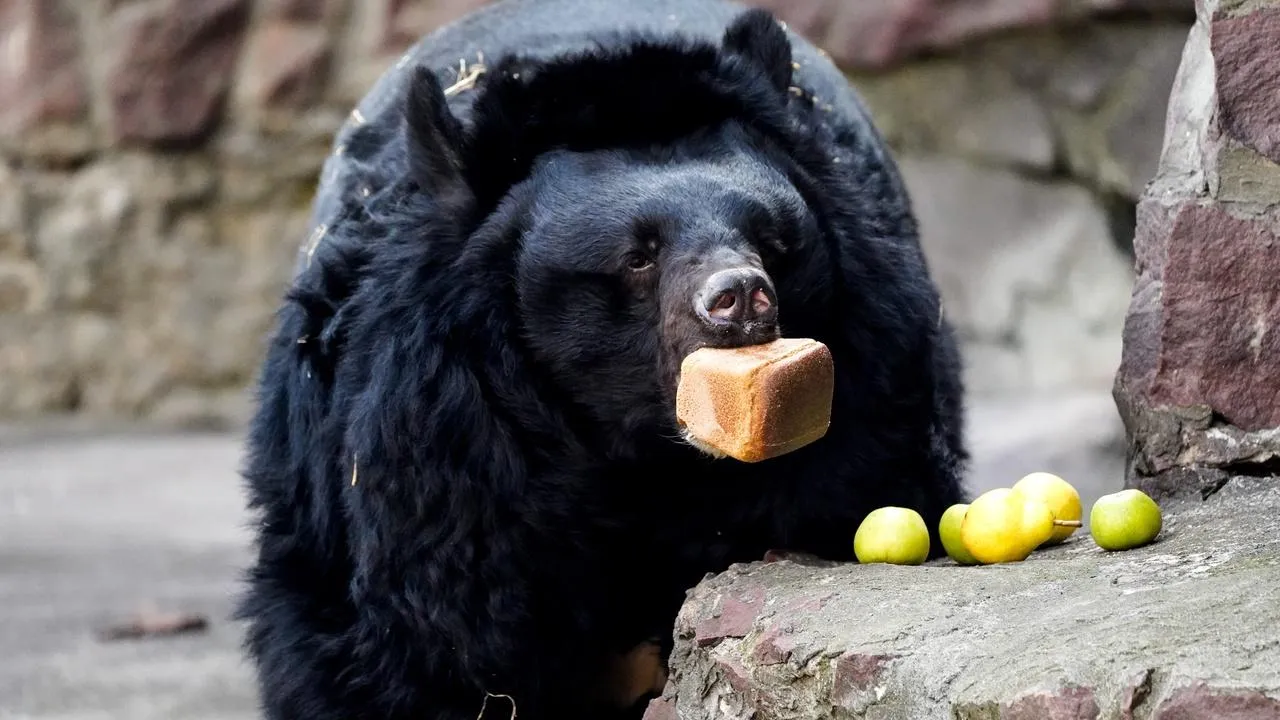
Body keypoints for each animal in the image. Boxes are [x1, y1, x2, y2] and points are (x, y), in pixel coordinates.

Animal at [236, 1, 969, 719]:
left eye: (769, 238)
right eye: (638, 256)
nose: (740, 298)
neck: (646, 460)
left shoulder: (872, 378)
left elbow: (844, 486)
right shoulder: (437, 448)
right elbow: (432, 636)